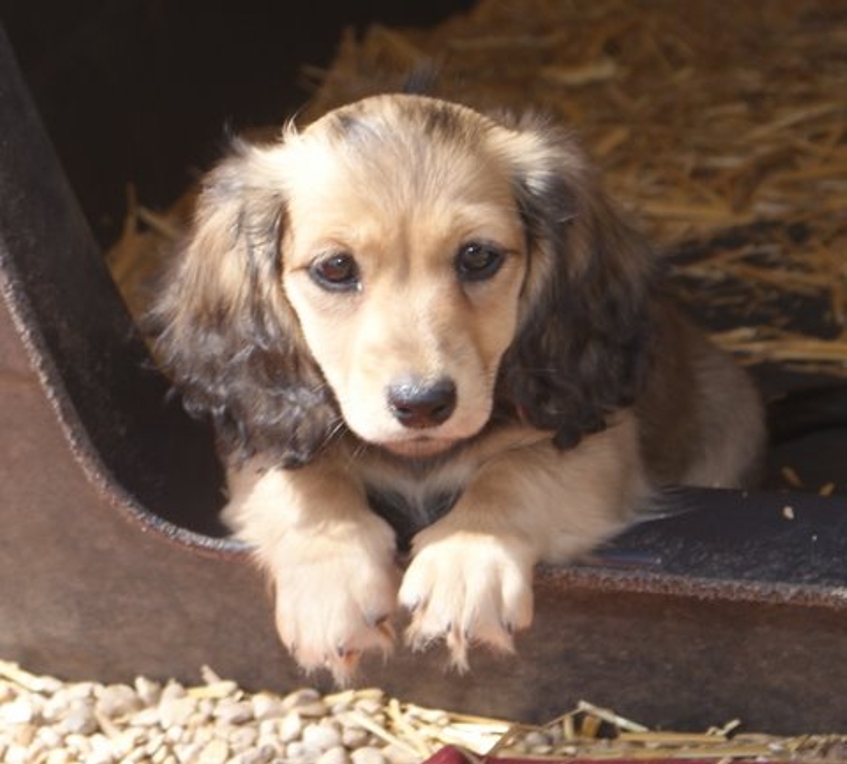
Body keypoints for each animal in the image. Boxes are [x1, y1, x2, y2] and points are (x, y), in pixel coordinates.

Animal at [152, 93, 765, 683]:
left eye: (478, 256)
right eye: (335, 268)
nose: (422, 405)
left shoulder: (598, 442)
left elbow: (515, 473)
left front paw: (468, 560)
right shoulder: (258, 440)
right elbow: (304, 482)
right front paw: (331, 584)